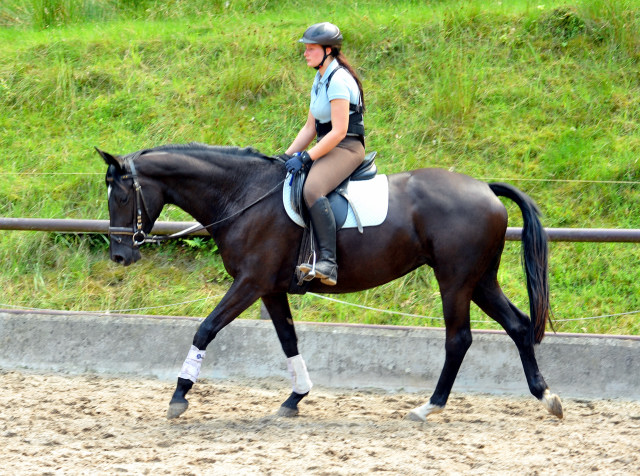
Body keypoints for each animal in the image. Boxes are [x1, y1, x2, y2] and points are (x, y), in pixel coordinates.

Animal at [97, 143, 564, 422]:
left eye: (120, 196)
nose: (120, 255)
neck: (244, 195)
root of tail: (484, 188)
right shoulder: (271, 288)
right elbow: (288, 340)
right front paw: (294, 399)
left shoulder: (250, 283)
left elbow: (205, 328)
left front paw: (179, 396)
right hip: (479, 279)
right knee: (519, 325)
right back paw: (546, 396)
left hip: (454, 281)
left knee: (459, 339)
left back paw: (428, 407)